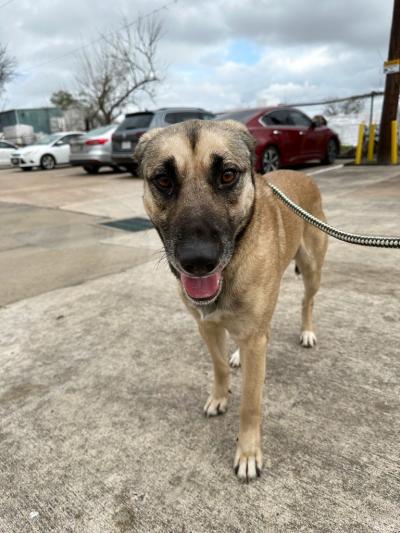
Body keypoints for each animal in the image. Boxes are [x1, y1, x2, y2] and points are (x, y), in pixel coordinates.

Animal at [133, 120, 326, 482]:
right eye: (163, 180)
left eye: (227, 175)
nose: (197, 261)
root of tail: (304, 175)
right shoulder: (207, 326)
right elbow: (219, 366)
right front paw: (220, 396)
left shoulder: (254, 338)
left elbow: (251, 403)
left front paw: (248, 453)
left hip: (311, 270)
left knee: (306, 302)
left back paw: (307, 331)